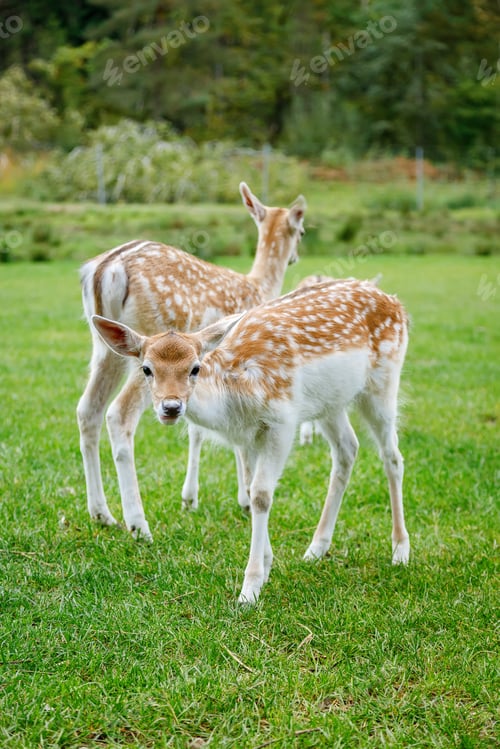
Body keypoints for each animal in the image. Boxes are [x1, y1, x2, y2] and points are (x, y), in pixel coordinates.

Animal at [77, 183, 306, 542]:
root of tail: (107, 270)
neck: (260, 286)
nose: (296, 255)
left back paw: (102, 514)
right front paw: (243, 497)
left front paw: (192, 498)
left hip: (105, 347)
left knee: (88, 409)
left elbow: (199, 428)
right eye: (302, 231)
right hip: (146, 345)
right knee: (118, 413)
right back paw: (138, 524)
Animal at [92, 277, 411, 604]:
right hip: (330, 403)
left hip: (383, 383)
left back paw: (400, 551)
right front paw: (267, 564)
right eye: (146, 369)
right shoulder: (250, 435)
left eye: (195, 367)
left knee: (393, 457)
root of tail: (393, 300)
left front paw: (250, 589)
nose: (171, 407)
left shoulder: (282, 421)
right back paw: (316, 548)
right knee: (348, 449)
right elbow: (249, 488)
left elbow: (260, 495)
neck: (235, 396)